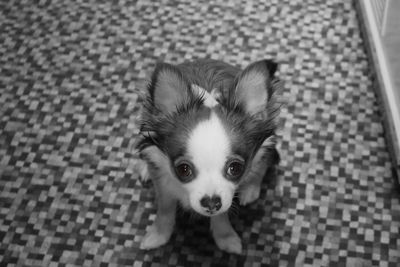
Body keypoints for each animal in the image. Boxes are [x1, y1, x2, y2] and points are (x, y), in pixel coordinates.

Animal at [136, 59, 280, 255]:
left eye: (235, 168)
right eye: (183, 169)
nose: (211, 203)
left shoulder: (225, 194)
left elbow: (222, 213)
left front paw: (225, 236)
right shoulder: (163, 182)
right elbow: (165, 209)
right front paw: (158, 235)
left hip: (268, 143)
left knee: (264, 162)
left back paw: (250, 188)